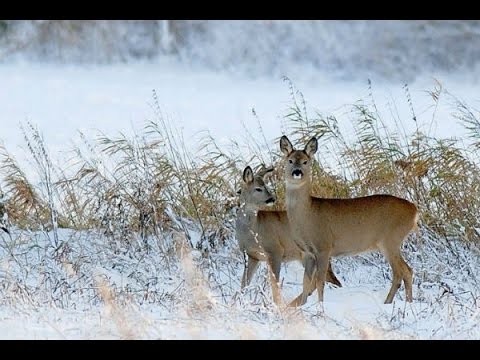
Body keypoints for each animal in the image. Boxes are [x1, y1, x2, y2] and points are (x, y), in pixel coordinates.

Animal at [236, 165, 342, 306]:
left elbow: (274, 284)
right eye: (258, 188)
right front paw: (235, 302)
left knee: (327, 281)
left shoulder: (275, 250)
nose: (272, 199)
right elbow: (244, 283)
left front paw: (276, 305)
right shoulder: (253, 256)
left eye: (266, 186)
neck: (253, 229)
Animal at [280, 136, 418, 306]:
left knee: (402, 271)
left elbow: (319, 281)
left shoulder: (324, 246)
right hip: (390, 242)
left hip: (391, 239)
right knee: (406, 271)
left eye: (306, 161)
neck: (307, 215)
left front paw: (320, 306)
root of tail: (414, 210)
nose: (297, 172)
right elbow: (306, 282)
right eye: (290, 160)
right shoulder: (308, 252)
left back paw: (395, 303)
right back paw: (404, 303)